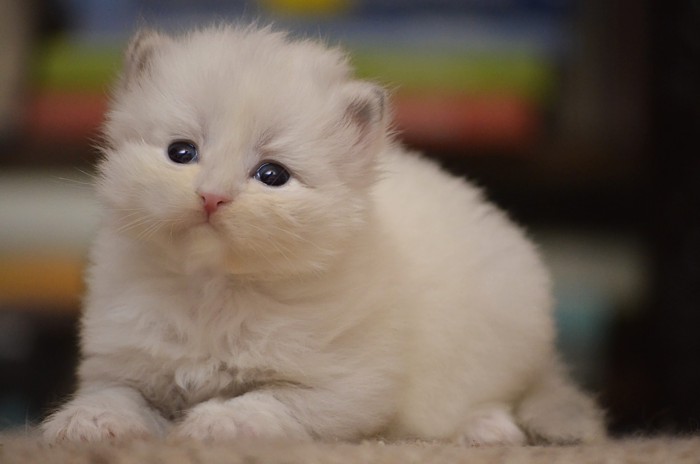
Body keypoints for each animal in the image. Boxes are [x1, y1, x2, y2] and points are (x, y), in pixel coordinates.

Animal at [41, 24, 605, 445]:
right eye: (181, 152)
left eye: (272, 175)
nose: (212, 196)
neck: (213, 291)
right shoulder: (121, 362)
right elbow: (115, 394)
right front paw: (87, 422)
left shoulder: (342, 388)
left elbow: (267, 401)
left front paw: (220, 422)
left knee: (495, 399)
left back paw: (485, 430)